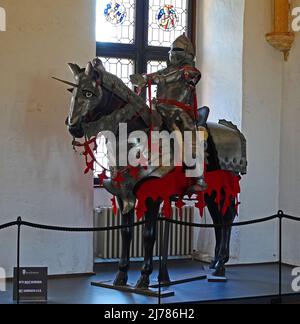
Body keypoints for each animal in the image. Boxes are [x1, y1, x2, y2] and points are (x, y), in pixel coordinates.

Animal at [55, 57, 246, 288]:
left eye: (88, 93)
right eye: (72, 91)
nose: (73, 128)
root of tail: (232, 130)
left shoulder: (152, 196)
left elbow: (148, 234)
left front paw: (145, 277)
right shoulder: (123, 195)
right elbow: (126, 233)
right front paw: (121, 275)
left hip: (225, 188)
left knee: (227, 218)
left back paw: (220, 265)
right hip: (212, 192)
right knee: (219, 219)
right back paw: (216, 264)